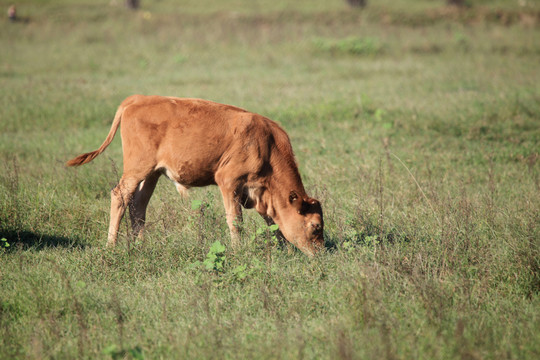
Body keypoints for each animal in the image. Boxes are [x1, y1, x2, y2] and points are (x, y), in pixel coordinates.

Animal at [66, 95, 324, 256]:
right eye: (315, 226)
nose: (320, 254)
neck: (267, 144)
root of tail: (138, 99)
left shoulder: (259, 193)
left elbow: (273, 222)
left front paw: (286, 250)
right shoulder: (228, 181)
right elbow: (235, 221)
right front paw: (238, 250)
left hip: (152, 174)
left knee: (138, 204)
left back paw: (140, 246)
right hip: (137, 169)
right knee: (119, 196)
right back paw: (111, 246)